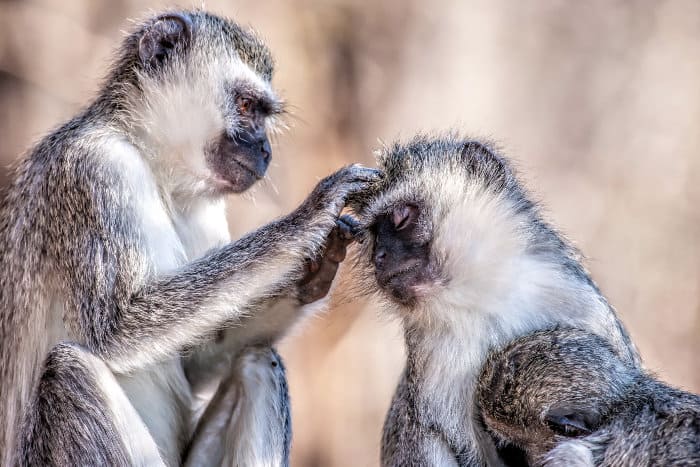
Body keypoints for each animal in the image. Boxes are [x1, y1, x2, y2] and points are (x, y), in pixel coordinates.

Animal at [0, 9, 378, 466]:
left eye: (263, 114)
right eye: (246, 106)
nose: (266, 151)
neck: (150, 161)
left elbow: (193, 362)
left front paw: (315, 267)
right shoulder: (93, 170)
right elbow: (116, 328)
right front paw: (308, 219)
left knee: (259, 363)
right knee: (70, 370)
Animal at [350, 133, 640, 466]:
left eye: (400, 219)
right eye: (372, 235)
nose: (379, 258)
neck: (484, 295)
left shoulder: (581, 303)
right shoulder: (434, 357)